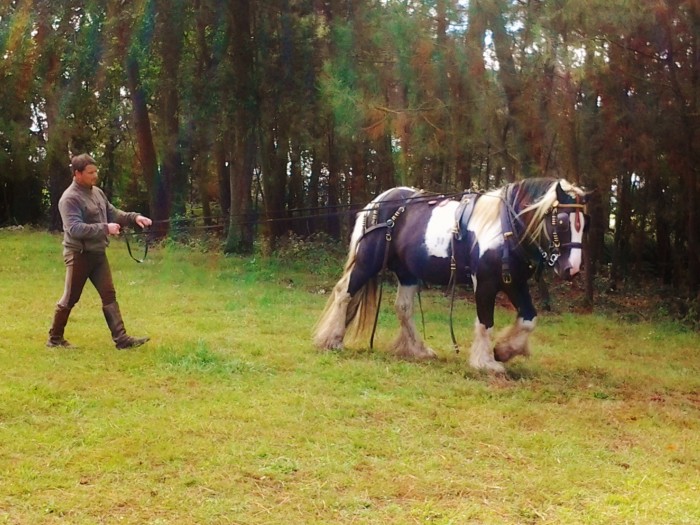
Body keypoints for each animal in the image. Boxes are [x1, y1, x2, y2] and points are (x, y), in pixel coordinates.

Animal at [314, 176, 588, 372]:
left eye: (584, 225)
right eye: (562, 221)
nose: (572, 269)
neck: (506, 227)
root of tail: (375, 204)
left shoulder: (515, 282)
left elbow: (529, 319)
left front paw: (504, 351)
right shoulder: (486, 283)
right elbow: (486, 322)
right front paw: (485, 363)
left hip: (407, 272)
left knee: (403, 308)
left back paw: (417, 350)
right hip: (367, 261)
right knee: (345, 293)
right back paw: (333, 340)